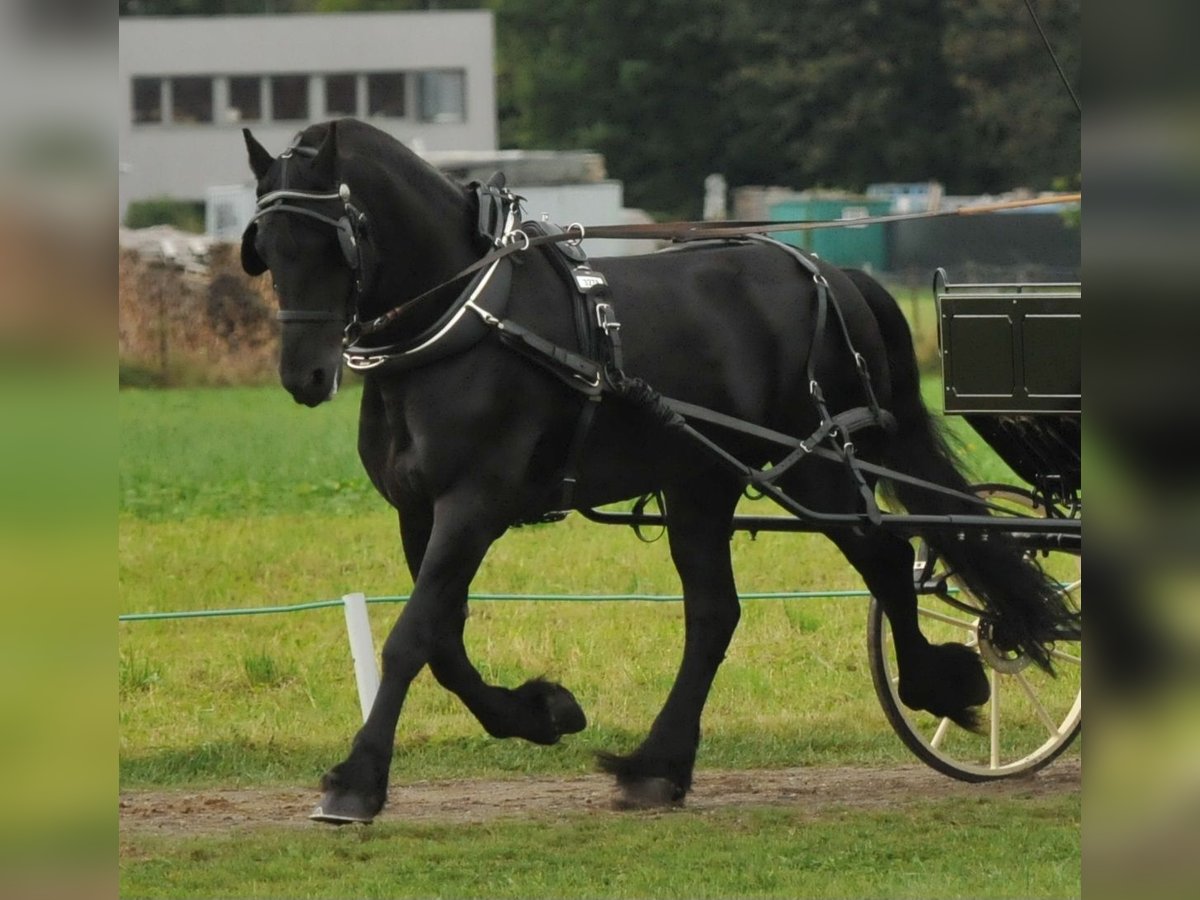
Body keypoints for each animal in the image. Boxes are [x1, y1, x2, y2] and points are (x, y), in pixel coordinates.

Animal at [238, 120, 1075, 825]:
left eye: (335, 242)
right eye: (266, 248)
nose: (305, 375)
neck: (470, 319)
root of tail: (831, 272)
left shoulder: (475, 504)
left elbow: (411, 636)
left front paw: (356, 781)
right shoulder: (419, 510)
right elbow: (441, 639)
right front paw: (541, 712)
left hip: (813, 464)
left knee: (888, 558)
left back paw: (939, 682)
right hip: (702, 481)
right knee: (716, 613)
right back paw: (658, 766)